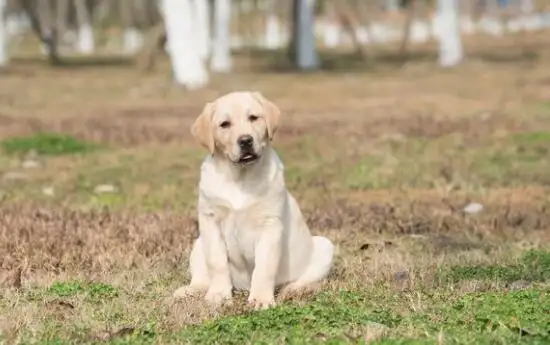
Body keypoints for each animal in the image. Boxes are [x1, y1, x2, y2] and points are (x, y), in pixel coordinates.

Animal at [175, 90, 334, 308]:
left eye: (253, 118)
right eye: (224, 124)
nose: (245, 141)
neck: (240, 177)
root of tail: (241, 287)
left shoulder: (270, 225)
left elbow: (264, 267)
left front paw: (260, 299)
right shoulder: (210, 220)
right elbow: (216, 262)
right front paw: (218, 295)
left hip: (325, 247)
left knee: (305, 279)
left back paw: (293, 290)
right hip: (199, 243)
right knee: (201, 277)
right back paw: (189, 291)